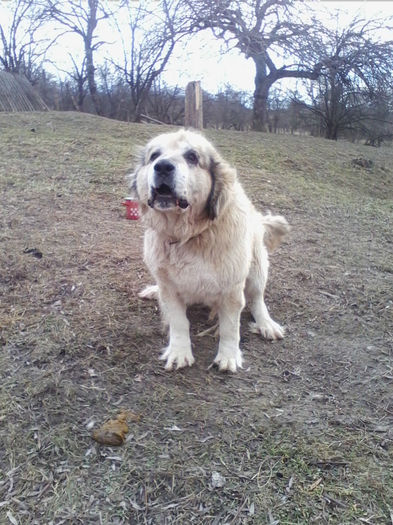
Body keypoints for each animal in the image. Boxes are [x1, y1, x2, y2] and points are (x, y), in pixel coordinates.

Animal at [129, 128, 288, 370]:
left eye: (192, 157)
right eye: (154, 155)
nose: (163, 166)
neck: (186, 236)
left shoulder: (232, 289)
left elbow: (231, 327)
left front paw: (229, 356)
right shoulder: (170, 288)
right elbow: (179, 323)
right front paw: (179, 352)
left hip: (257, 268)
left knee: (257, 299)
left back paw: (266, 324)